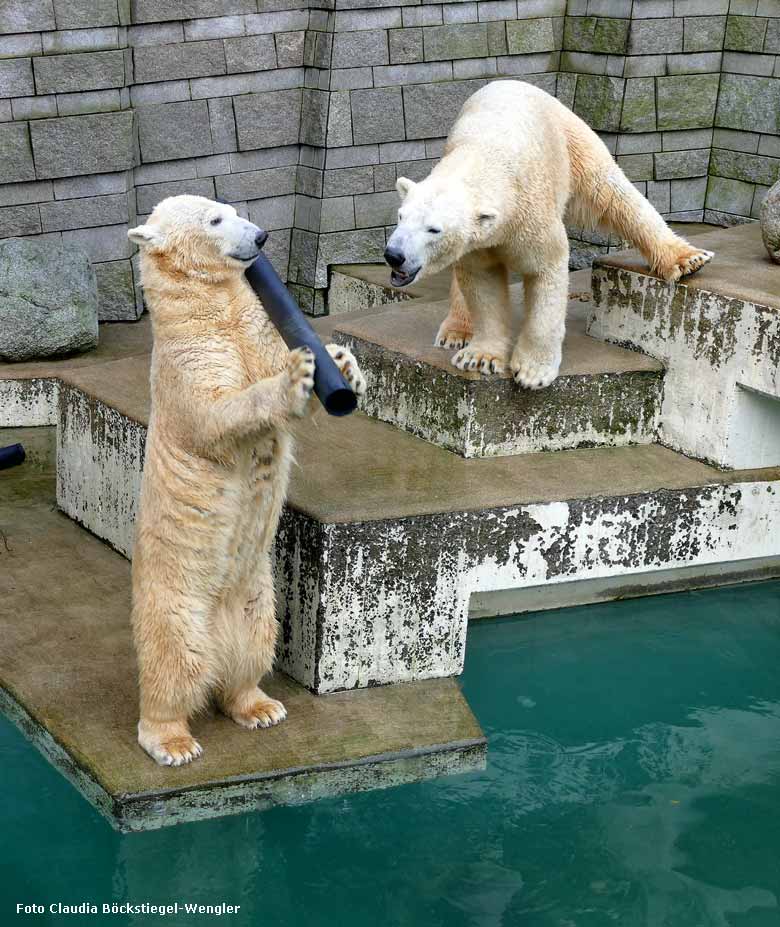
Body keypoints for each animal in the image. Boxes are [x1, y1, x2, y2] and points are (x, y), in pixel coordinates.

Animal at [129, 198, 368, 768]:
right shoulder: (187, 358)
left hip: (259, 594)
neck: (208, 307)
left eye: (233, 209)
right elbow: (219, 412)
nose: (260, 237)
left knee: (253, 648)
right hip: (177, 600)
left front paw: (342, 362)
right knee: (175, 661)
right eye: (215, 220)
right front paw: (297, 375)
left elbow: (270, 362)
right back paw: (171, 740)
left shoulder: (249, 325)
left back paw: (258, 705)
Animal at [384, 80, 712, 392]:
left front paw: (533, 372)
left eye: (433, 229)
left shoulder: (532, 212)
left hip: (572, 140)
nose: (393, 255)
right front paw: (480, 357)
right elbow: (481, 281)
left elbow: (545, 273)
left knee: (611, 191)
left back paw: (687, 258)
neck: (485, 156)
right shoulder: (478, 243)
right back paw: (456, 332)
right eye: (401, 217)